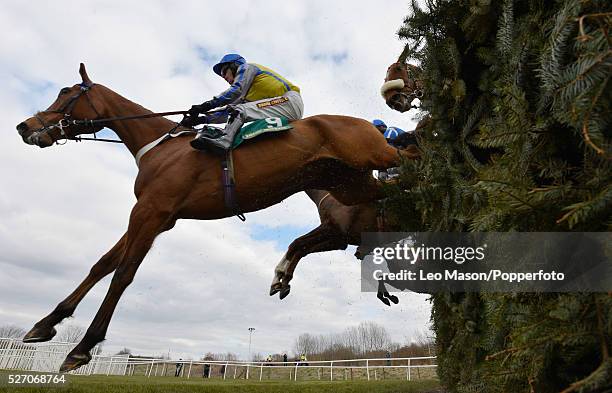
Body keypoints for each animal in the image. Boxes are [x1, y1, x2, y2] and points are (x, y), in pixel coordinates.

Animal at [14, 63, 418, 370]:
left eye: (65, 93)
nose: (24, 127)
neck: (160, 147)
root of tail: (366, 124)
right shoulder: (154, 216)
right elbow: (101, 265)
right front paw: (44, 325)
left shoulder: (151, 211)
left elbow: (123, 274)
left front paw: (82, 348)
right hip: (353, 184)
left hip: (376, 159)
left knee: (417, 157)